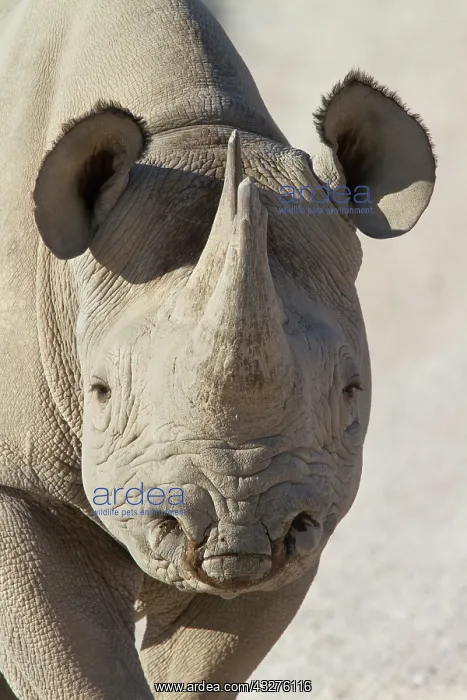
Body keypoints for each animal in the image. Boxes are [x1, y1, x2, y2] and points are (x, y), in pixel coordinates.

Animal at [0, 0, 436, 697]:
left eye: (352, 394)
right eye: (100, 393)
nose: (236, 525)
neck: (189, 134)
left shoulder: (308, 498)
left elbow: (203, 664)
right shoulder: (18, 489)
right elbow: (82, 669)